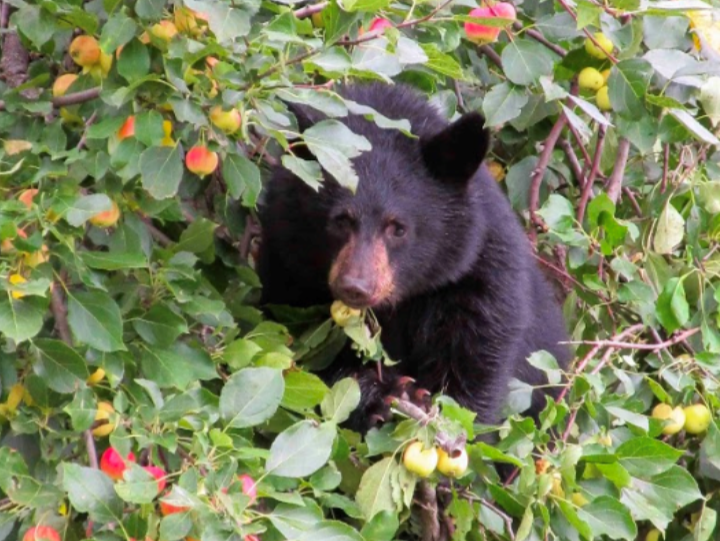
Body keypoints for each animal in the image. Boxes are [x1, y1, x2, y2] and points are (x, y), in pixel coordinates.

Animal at [256, 82, 572, 432]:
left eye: (398, 228)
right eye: (340, 220)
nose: (356, 287)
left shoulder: (482, 278)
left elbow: (475, 373)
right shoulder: (287, 261)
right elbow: (304, 348)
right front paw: (381, 395)